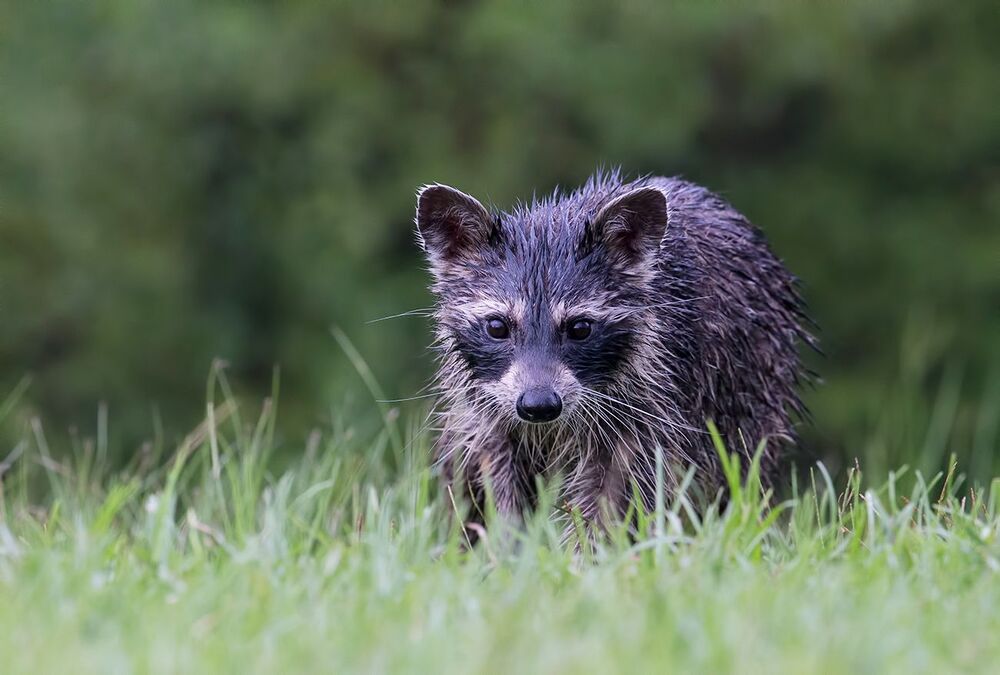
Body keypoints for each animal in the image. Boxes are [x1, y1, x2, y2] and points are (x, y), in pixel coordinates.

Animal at [415, 171, 814, 539]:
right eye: (497, 326)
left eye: (580, 328)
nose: (539, 405)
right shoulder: (488, 411)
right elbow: (496, 478)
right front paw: (507, 548)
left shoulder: (651, 397)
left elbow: (619, 488)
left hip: (748, 387)